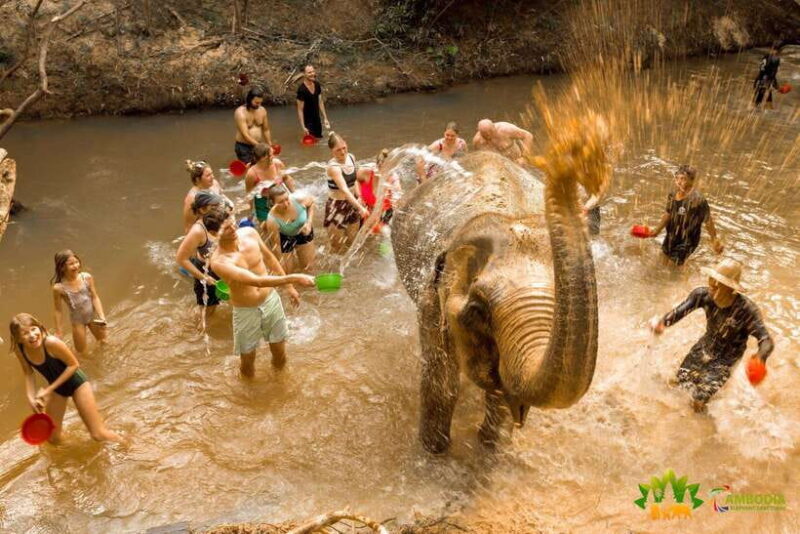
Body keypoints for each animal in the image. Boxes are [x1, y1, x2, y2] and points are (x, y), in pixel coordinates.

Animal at [390, 120, 610, 453]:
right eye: (477, 309)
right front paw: (434, 451)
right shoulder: (431, 299)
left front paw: (490, 445)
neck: (505, 215)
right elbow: (443, 379)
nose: (573, 149)